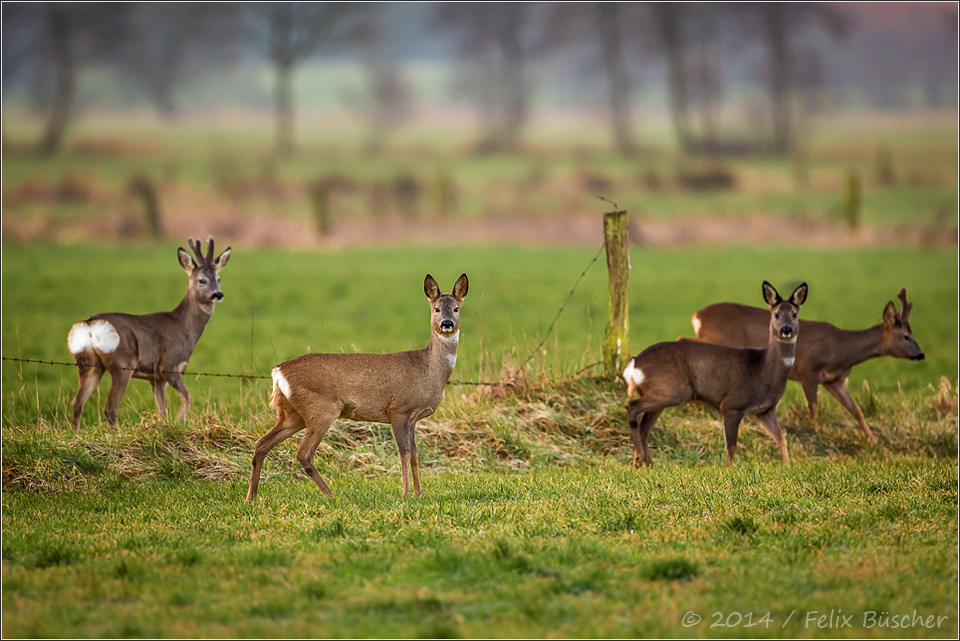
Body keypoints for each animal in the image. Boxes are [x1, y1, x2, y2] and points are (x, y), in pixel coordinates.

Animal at [67, 235, 231, 430]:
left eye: (218, 278)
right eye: (201, 280)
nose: (218, 294)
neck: (185, 327)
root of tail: (90, 325)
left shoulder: (156, 378)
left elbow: (163, 411)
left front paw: (166, 426)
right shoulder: (168, 365)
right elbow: (186, 396)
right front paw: (178, 422)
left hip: (89, 364)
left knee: (77, 402)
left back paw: (76, 435)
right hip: (122, 363)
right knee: (109, 408)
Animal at [246, 270, 470, 500]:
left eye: (456, 308)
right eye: (436, 308)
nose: (446, 323)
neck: (428, 369)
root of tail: (277, 371)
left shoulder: (413, 418)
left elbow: (415, 454)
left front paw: (418, 493)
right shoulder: (398, 410)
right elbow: (404, 453)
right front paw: (406, 493)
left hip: (292, 414)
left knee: (262, 444)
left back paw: (251, 497)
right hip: (321, 409)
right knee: (303, 454)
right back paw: (331, 495)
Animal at [620, 280, 808, 464]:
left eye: (794, 314)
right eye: (776, 314)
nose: (786, 330)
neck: (764, 368)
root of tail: (635, 362)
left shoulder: (766, 410)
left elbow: (781, 437)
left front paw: (787, 466)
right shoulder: (732, 404)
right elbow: (731, 445)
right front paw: (728, 468)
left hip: (661, 394)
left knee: (644, 428)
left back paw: (646, 463)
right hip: (671, 389)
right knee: (632, 407)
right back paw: (639, 460)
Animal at [688, 288, 924, 442]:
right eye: (906, 336)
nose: (920, 355)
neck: (842, 348)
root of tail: (696, 316)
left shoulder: (835, 381)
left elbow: (856, 410)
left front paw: (875, 443)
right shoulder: (808, 371)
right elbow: (813, 407)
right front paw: (815, 431)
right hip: (716, 342)